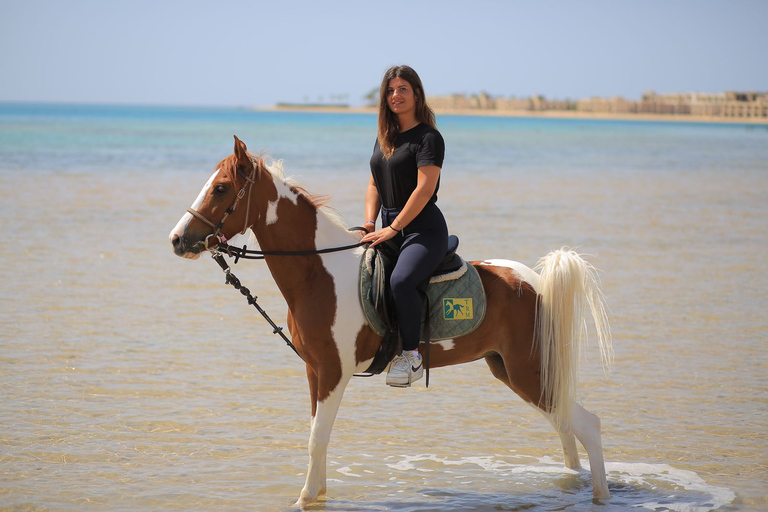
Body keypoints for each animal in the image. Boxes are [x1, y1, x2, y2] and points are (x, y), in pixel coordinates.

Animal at [168, 136, 612, 508]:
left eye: (221, 188)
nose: (176, 239)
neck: (320, 273)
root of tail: (537, 282)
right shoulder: (314, 371)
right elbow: (316, 437)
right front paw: (317, 494)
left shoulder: (334, 372)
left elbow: (317, 438)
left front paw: (303, 499)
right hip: (516, 371)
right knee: (565, 426)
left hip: (529, 372)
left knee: (587, 425)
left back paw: (600, 496)